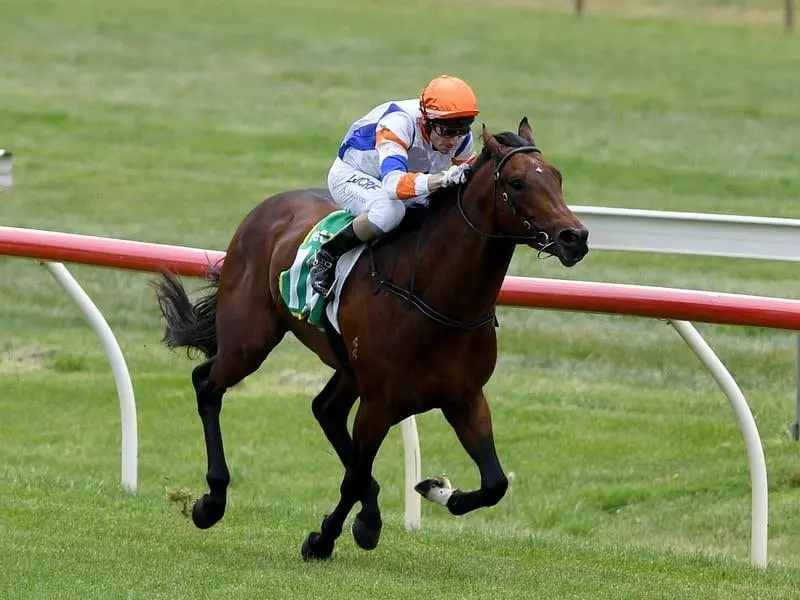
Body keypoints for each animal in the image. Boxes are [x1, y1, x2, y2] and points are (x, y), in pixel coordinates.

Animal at [153, 118, 588, 564]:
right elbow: (354, 477)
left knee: (325, 410)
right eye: (517, 183)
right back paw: (212, 501)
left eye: (557, 177)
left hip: (346, 367)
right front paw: (323, 538)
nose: (575, 237)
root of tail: (266, 209)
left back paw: (370, 514)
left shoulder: (464, 397)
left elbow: (495, 483)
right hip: (249, 340)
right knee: (208, 384)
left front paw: (437, 490)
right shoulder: (380, 402)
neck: (437, 296)